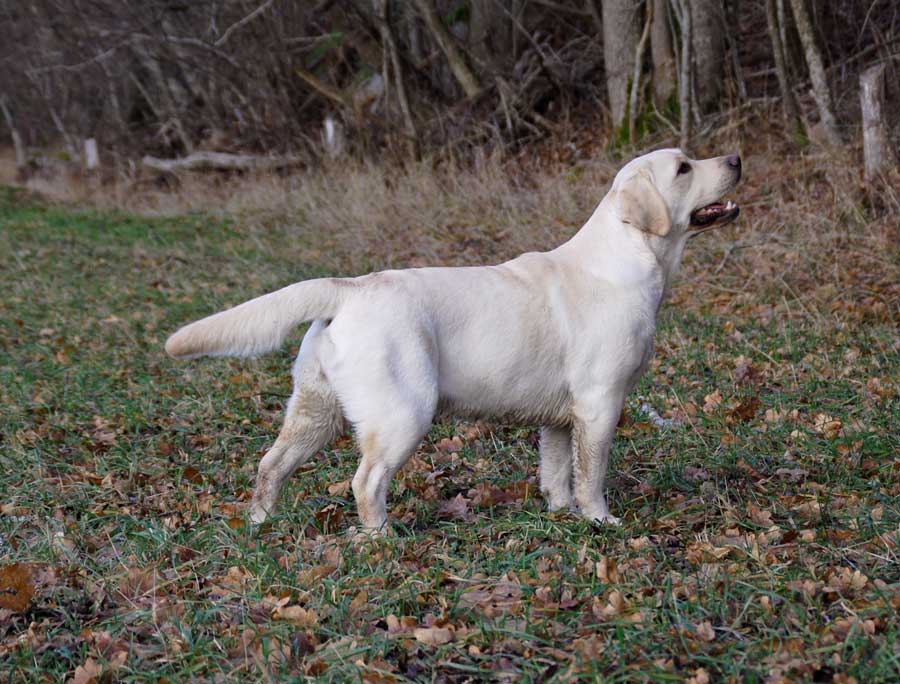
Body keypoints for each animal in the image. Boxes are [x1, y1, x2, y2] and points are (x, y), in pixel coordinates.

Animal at [165, 150, 740, 532]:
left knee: (271, 464)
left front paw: (561, 515)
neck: (628, 259)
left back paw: (260, 522)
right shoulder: (600, 404)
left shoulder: (561, 417)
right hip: (403, 412)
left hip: (315, 410)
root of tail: (348, 288)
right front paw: (601, 523)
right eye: (684, 167)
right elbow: (591, 475)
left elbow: (557, 473)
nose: (735, 157)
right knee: (365, 480)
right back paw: (381, 538)